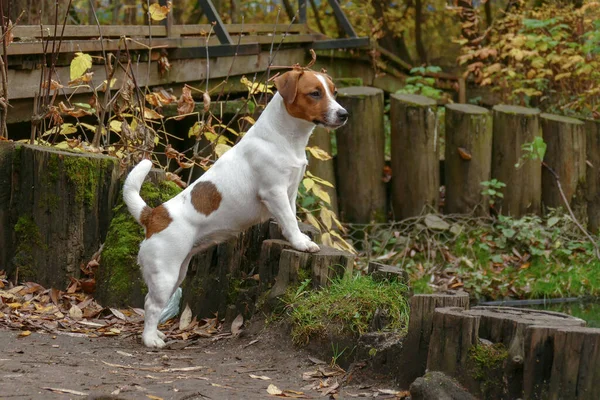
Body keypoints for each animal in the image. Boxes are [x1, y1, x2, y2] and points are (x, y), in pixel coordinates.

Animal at [123, 68, 346, 346]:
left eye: (334, 92)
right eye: (315, 93)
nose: (344, 114)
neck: (283, 137)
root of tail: (153, 215)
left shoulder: (291, 190)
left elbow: (291, 218)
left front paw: (298, 238)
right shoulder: (274, 192)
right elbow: (289, 220)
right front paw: (301, 243)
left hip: (177, 272)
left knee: (150, 301)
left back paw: (156, 333)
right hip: (165, 274)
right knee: (151, 306)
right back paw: (150, 339)